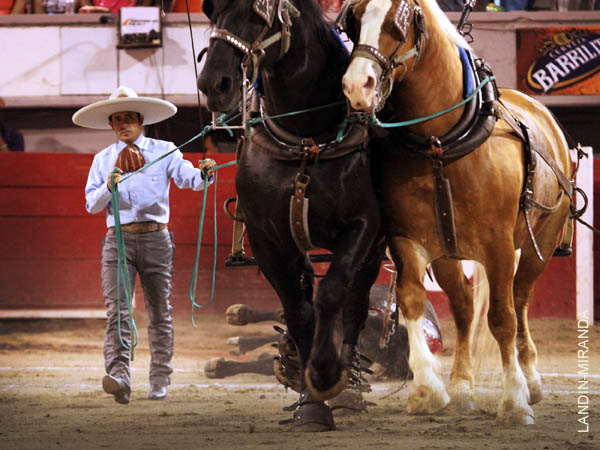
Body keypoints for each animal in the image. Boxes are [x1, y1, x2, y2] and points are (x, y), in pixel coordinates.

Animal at [198, 0, 384, 430]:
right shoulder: (268, 239)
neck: (305, 139)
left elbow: (334, 293)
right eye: (210, 12)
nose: (215, 83)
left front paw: (327, 372)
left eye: (257, 12)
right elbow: (299, 312)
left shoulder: (364, 226)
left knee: (356, 301)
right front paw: (310, 400)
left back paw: (347, 381)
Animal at [342, 0, 572, 426]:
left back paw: (531, 379)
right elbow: (413, 302)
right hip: (448, 252)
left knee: (520, 301)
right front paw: (427, 391)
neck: (440, 144)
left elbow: (502, 318)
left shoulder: (499, 245)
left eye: (397, 24)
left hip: (542, 244)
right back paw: (462, 386)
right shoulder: (407, 239)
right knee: (464, 309)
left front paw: (514, 401)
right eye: (355, 19)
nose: (356, 85)